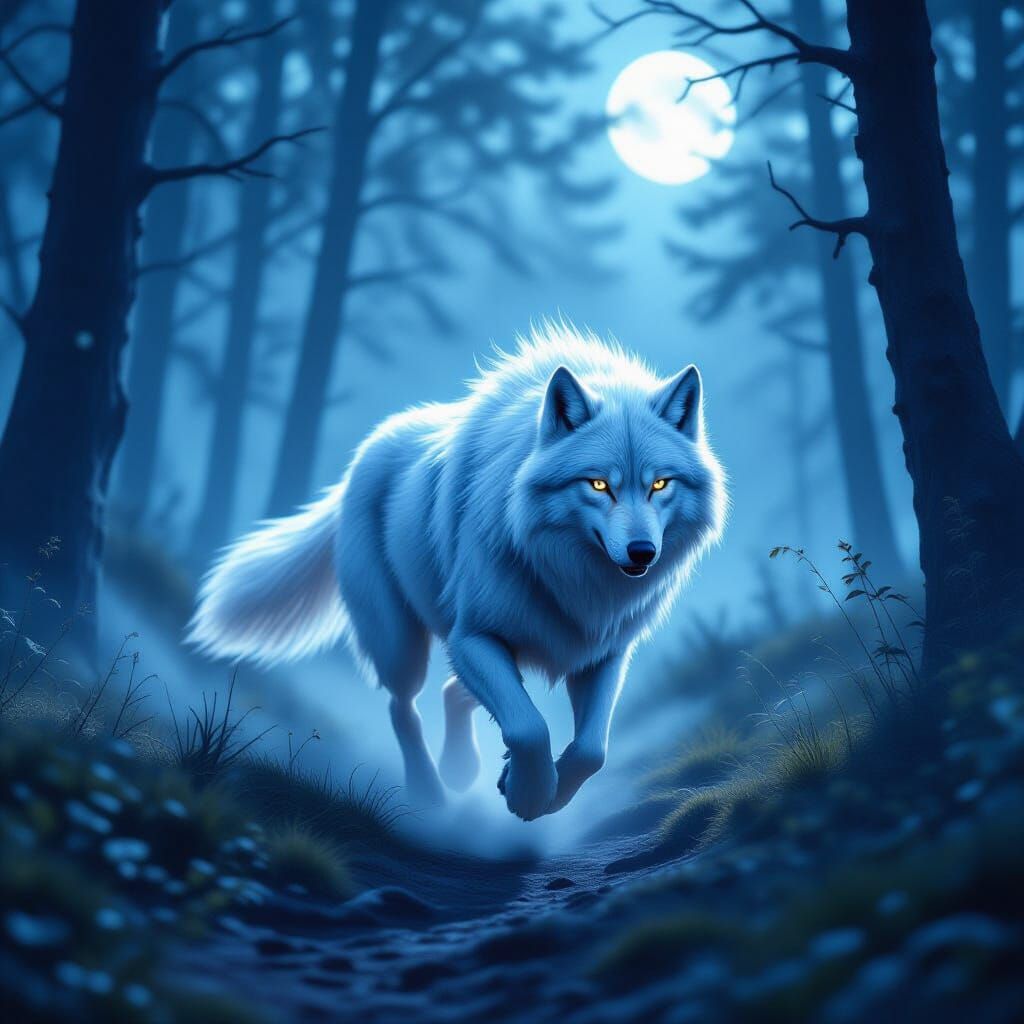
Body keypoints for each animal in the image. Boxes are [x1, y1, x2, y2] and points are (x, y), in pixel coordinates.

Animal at [188, 323, 726, 820]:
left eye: (659, 484)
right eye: (598, 484)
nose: (642, 553)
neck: (569, 578)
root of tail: (359, 461)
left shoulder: (603, 652)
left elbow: (593, 751)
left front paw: (544, 792)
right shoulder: (472, 636)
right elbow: (529, 727)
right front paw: (529, 793)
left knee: (455, 693)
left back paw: (462, 769)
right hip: (401, 643)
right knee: (403, 706)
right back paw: (430, 791)